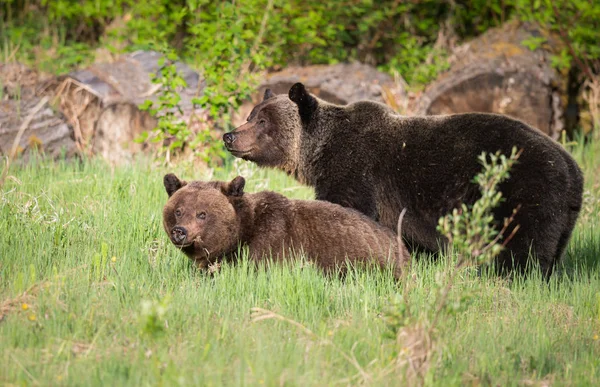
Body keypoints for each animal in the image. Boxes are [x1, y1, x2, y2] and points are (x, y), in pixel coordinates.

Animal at [223, 83, 584, 278]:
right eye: (251, 115)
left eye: (263, 121)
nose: (229, 136)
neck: (317, 151)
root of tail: (572, 167)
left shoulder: (356, 172)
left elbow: (344, 212)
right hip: (563, 216)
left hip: (522, 191)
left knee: (522, 251)